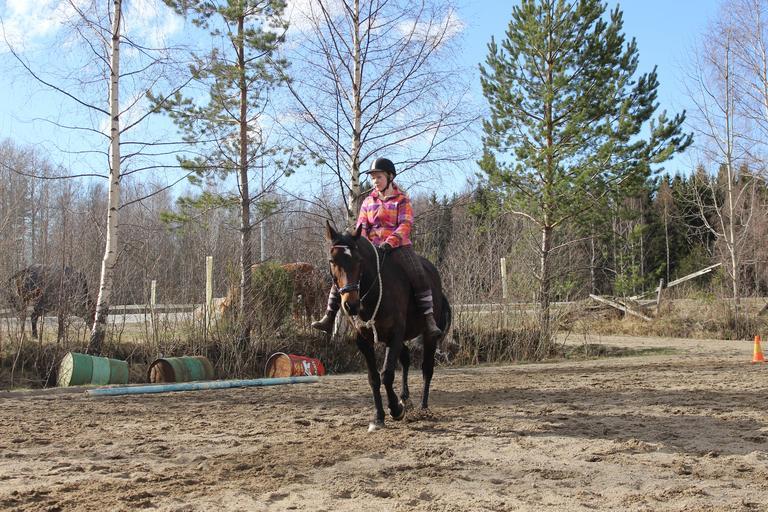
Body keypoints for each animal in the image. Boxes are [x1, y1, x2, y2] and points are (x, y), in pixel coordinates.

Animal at [324, 221, 452, 432]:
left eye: (358, 260)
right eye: (332, 261)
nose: (351, 304)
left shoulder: (395, 334)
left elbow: (387, 374)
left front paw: (395, 410)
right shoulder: (364, 340)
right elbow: (374, 378)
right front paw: (379, 417)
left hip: (429, 335)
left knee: (427, 368)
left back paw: (423, 407)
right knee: (406, 359)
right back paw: (405, 399)